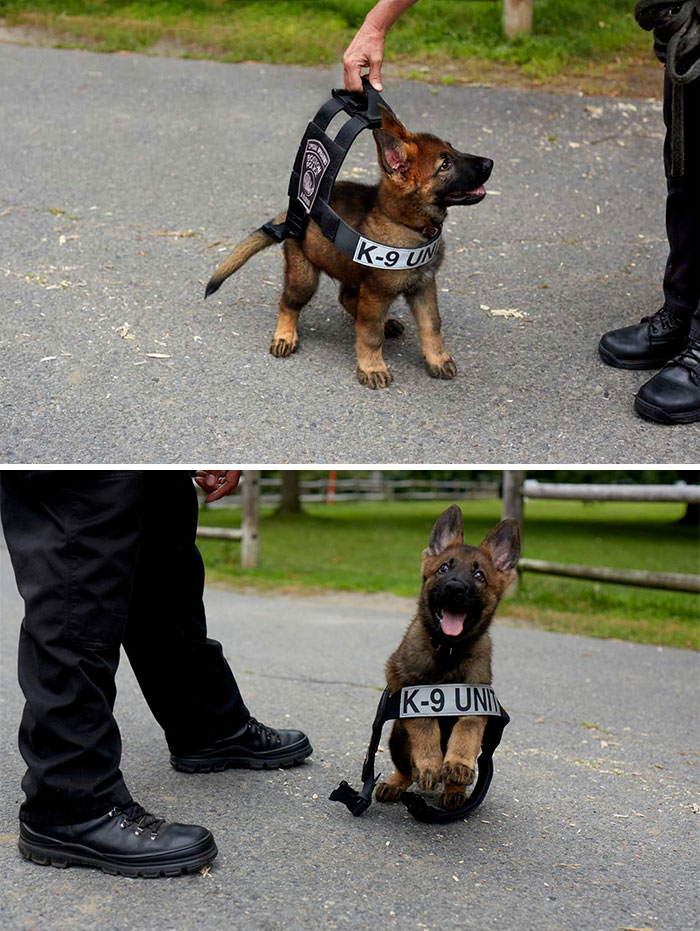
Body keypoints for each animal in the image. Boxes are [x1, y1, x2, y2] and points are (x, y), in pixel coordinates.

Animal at [205, 107, 494, 388]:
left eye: (453, 150)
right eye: (445, 165)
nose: (490, 163)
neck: (407, 225)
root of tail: (291, 214)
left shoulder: (424, 286)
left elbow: (431, 325)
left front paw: (437, 359)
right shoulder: (377, 293)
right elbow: (369, 334)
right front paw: (372, 367)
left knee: (347, 299)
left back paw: (385, 323)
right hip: (304, 277)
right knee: (288, 303)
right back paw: (285, 335)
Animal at [378, 510, 520, 808]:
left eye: (479, 575)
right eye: (443, 568)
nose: (454, 588)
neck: (448, 650)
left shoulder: (476, 699)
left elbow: (466, 731)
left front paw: (458, 765)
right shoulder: (407, 688)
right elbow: (425, 726)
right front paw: (430, 764)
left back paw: (454, 789)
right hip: (397, 735)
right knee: (405, 769)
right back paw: (397, 782)